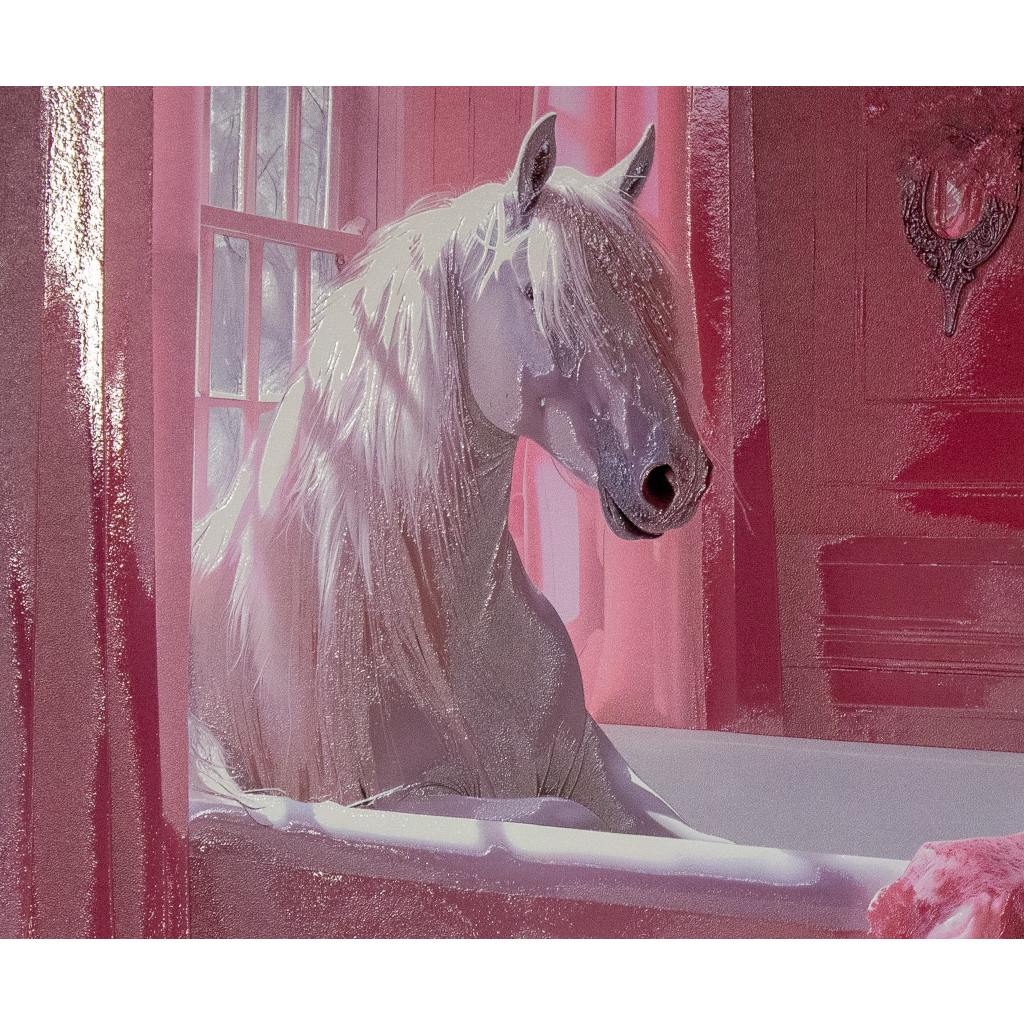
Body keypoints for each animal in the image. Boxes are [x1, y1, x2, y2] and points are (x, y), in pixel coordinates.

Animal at [190, 113, 722, 840]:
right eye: (536, 294)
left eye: (650, 298)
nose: (676, 477)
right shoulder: (395, 800)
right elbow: (564, 814)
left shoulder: (601, 771)